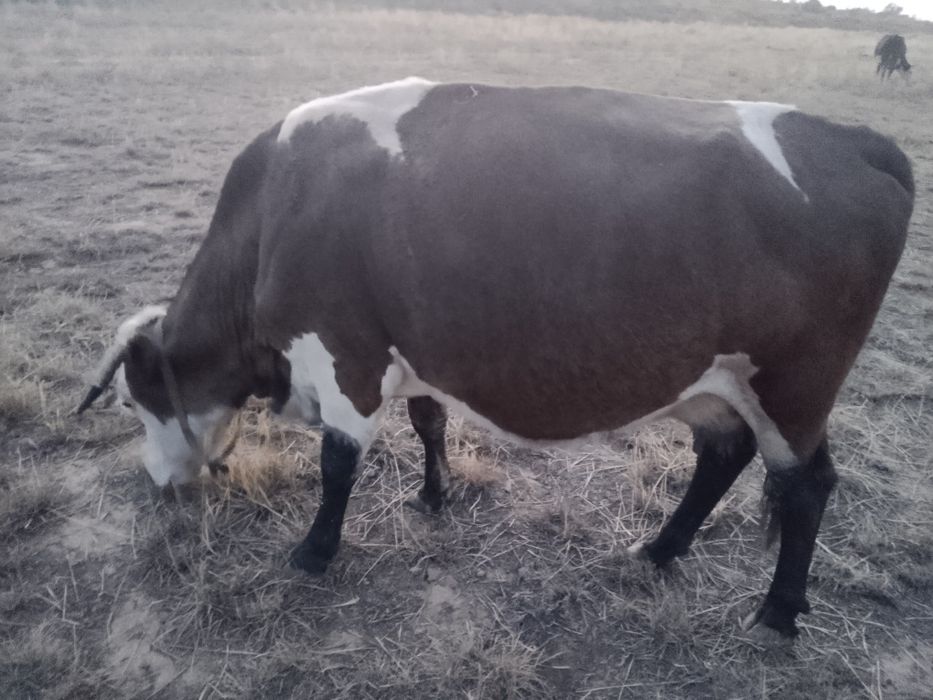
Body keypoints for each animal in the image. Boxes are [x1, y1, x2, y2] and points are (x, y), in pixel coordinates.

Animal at [77, 78, 914, 642]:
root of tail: (849, 137)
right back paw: (659, 549)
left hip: (795, 386)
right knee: (722, 457)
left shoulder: (344, 356)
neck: (273, 216)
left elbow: (339, 463)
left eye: (130, 400)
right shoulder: (410, 348)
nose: (156, 484)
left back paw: (776, 612)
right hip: (723, 383)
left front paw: (314, 551)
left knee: (806, 488)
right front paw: (433, 495)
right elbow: (428, 422)